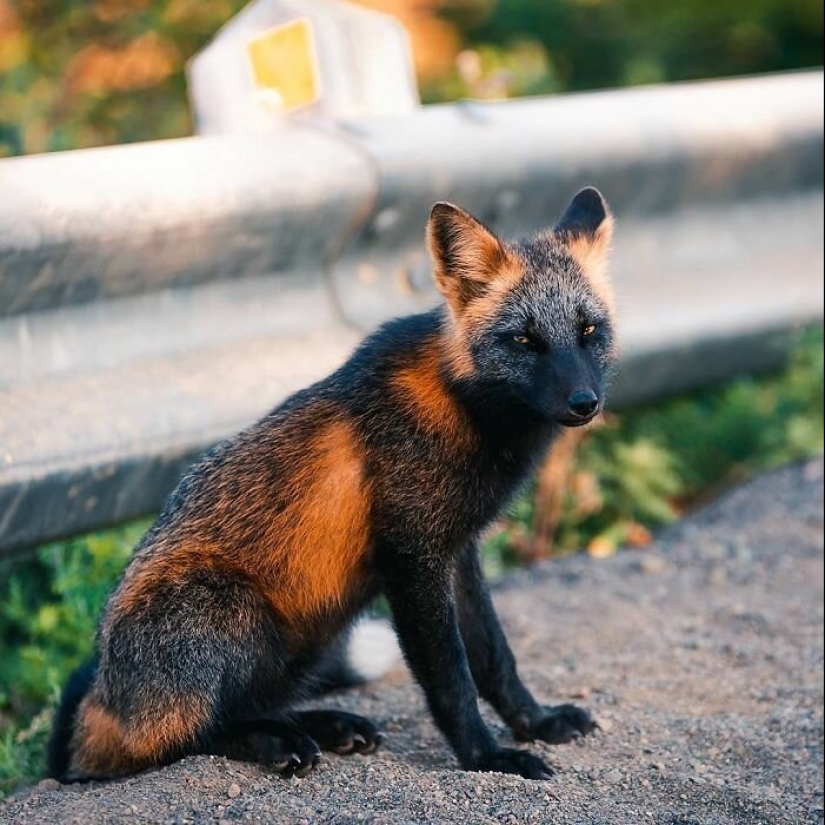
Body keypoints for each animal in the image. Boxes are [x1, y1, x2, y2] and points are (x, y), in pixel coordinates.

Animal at [48, 187, 616, 783]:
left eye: (588, 331)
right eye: (525, 340)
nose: (584, 403)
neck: (468, 410)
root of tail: (99, 695)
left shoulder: (458, 551)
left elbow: (496, 659)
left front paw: (537, 722)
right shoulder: (413, 558)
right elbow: (452, 681)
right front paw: (488, 757)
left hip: (310, 641)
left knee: (251, 706)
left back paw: (325, 726)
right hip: (235, 614)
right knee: (186, 738)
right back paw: (277, 741)